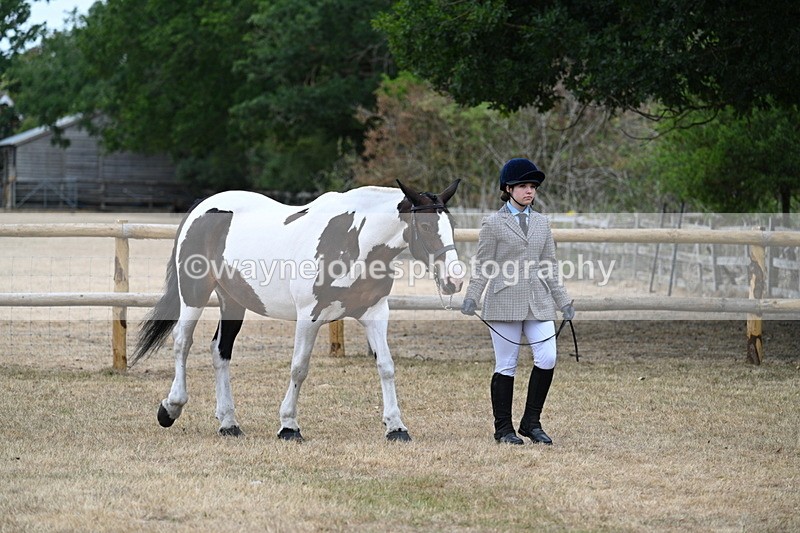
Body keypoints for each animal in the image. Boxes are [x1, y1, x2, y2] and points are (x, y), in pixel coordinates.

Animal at [132, 179, 463, 442]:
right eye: (424, 226)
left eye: (451, 226)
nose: (454, 280)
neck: (352, 239)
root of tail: (202, 210)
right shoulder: (309, 317)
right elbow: (299, 368)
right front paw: (289, 426)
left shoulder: (375, 313)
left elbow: (386, 366)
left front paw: (396, 427)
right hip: (195, 294)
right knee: (182, 343)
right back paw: (171, 408)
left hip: (232, 300)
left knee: (220, 351)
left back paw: (228, 423)